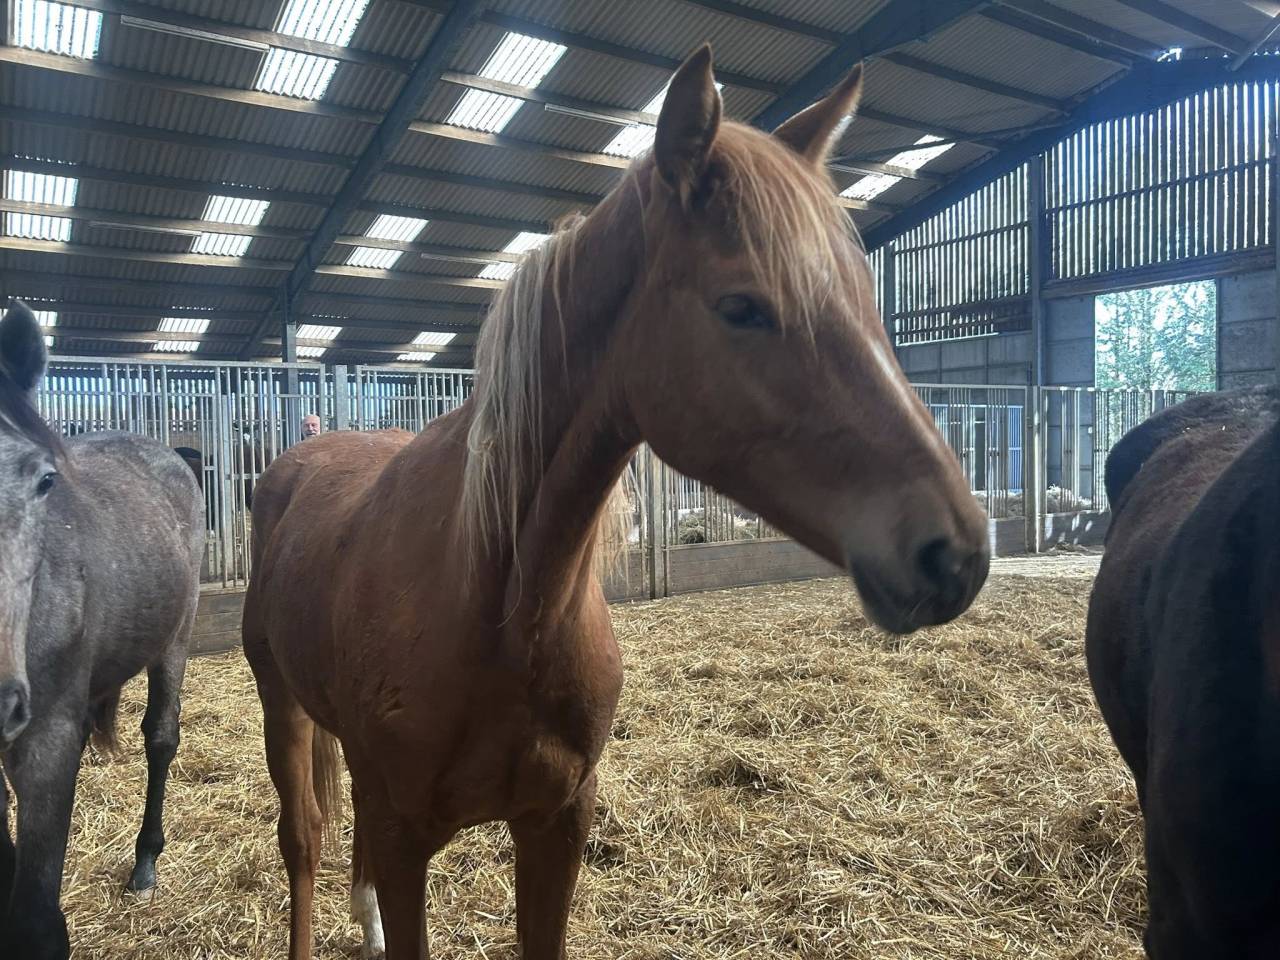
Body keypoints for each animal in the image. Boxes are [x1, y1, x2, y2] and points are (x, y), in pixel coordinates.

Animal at [0, 302, 205, 959]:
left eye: (43, 480)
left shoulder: (45, 746)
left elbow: (36, 923)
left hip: (177, 636)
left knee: (160, 737)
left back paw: (145, 863)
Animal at [242, 48, 990, 960]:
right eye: (741, 305)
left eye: (865, 296)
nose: (957, 551)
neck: (493, 606)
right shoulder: (405, 835)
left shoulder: (558, 823)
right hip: (281, 707)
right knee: (304, 838)